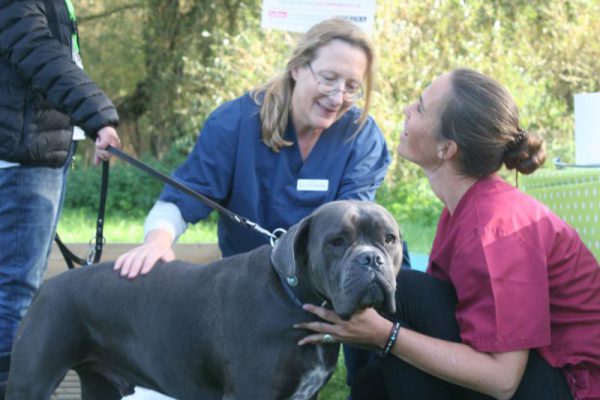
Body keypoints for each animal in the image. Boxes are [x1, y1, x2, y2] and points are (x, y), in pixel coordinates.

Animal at [5, 202, 404, 398]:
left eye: (389, 239)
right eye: (337, 241)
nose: (371, 259)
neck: (292, 298)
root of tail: (49, 286)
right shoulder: (252, 394)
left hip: (100, 387)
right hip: (30, 381)